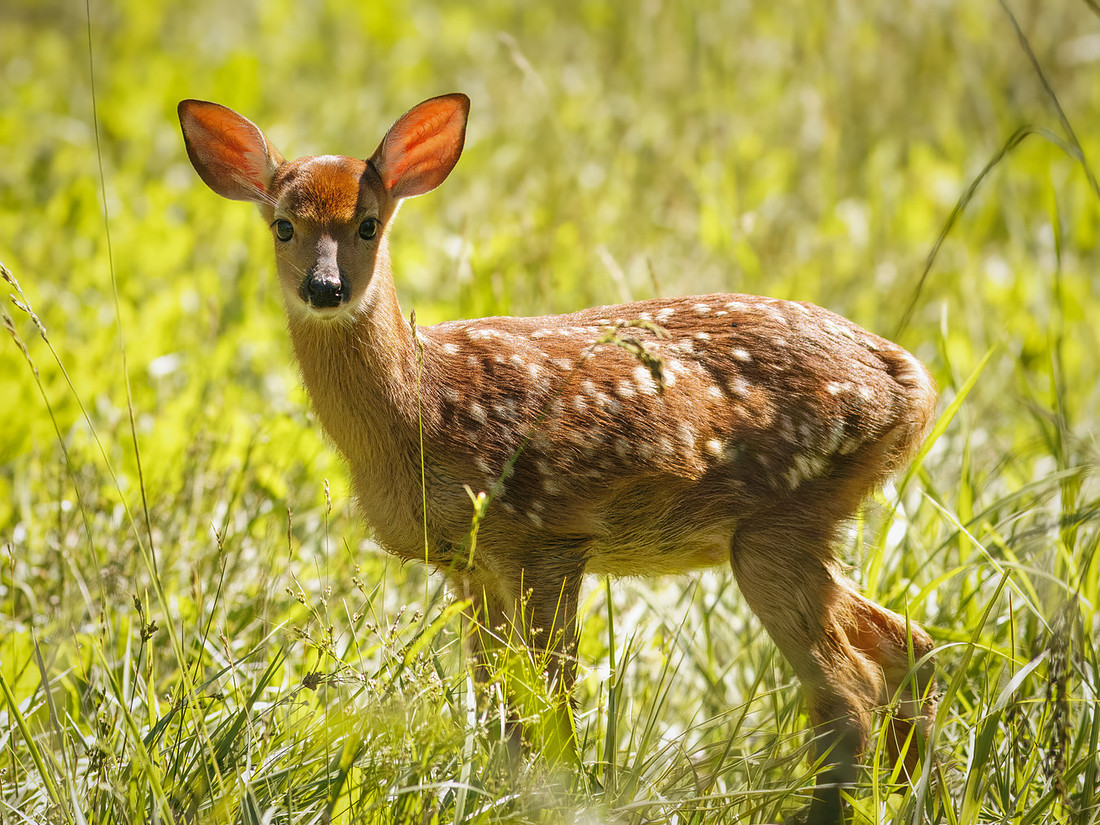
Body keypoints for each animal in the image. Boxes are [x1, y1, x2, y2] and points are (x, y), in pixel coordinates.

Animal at [178, 93, 938, 823]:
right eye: (283, 225)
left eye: (368, 223)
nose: (326, 289)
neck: (421, 408)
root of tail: (910, 382)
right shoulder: (470, 565)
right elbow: (501, 708)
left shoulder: (547, 538)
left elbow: (551, 706)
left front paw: (561, 795)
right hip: (801, 524)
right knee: (907, 646)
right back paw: (908, 791)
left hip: (777, 521)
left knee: (848, 691)